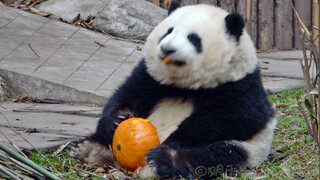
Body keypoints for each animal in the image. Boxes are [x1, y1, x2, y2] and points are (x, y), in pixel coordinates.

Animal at [69, 1, 276, 179]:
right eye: (168, 32)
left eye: (193, 38)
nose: (167, 48)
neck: (185, 85)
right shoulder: (151, 76)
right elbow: (129, 94)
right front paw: (117, 119)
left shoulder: (239, 84)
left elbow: (236, 117)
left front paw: (172, 141)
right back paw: (87, 148)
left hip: (251, 148)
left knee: (219, 154)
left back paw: (163, 160)